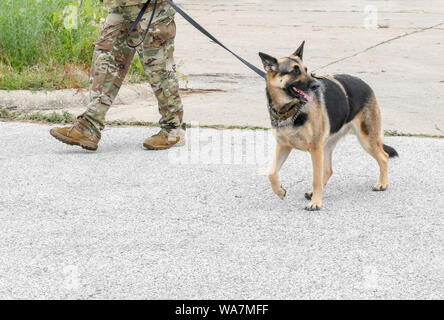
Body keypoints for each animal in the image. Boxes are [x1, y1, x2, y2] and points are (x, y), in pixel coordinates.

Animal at [258, 42, 398, 211]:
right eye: (294, 71)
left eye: (305, 69)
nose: (316, 85)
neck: (289, 109)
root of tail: (364, 83)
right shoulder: (284, 146)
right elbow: (271, 173)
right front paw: (279, 191)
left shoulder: (315, 148)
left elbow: (316, 178)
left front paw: (316, 203)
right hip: (327, 146)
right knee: (329, 170)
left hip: (366, 139)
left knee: (384, 157)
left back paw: (382, 184)